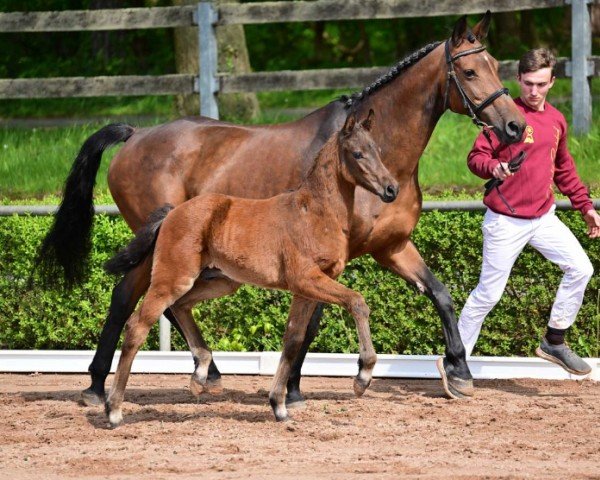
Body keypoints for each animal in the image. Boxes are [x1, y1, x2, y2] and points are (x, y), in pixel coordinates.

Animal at [105, 109, 400, 424]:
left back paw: (200, 375)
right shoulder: (306, 279)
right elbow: (357, 302)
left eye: (377, 150)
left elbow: (293, 339)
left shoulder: (305, 289)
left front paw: (279, 405)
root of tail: (172, 212)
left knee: (180, 305)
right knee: (138, 325)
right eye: (358, 153)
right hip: (174, 278)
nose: (391, 189)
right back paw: (113, 409)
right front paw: (363, 376)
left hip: (222, 282)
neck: (315, 213)